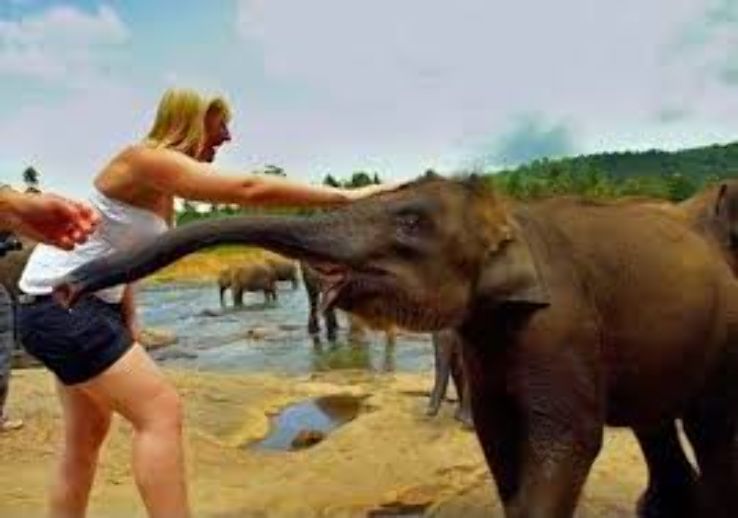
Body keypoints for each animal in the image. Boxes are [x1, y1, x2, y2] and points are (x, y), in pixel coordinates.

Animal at [54, 174, 738, 518]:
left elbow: (566, 440)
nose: (66, 289)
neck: (512, 217)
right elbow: (500, 436)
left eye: (410, 223)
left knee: (710, 425)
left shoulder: (559, 322)